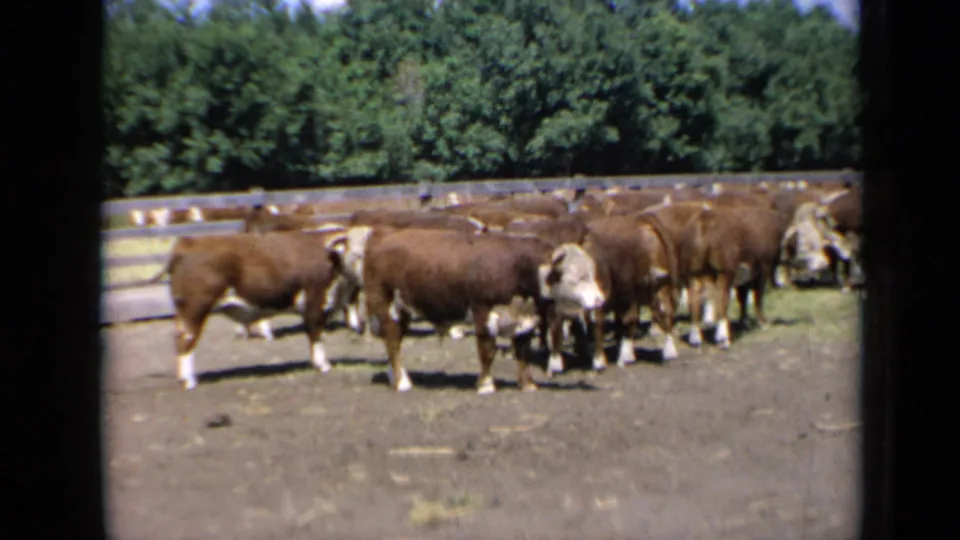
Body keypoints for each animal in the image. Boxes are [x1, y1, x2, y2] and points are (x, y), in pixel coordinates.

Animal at [150, 230, 359, 390]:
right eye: (355, 253)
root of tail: (187, 242)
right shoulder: (314, 303)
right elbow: (316, 335)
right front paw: (323, 365)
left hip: (183, 311)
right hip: (195, 308)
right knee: (187, 340)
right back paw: (189, 381)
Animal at [324, 226, 607, 393]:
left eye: (591, 272)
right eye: (578, 276)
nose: (600, 300)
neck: (518, 267)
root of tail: (382, 236)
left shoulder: (524, 320)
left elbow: (522, 353)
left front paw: (527, 384)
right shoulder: (483, 313)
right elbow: (487, 352)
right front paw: (486, 384)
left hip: (402, 309)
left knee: (394, 342)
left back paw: (398, 377)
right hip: (385, 305)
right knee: (392, 342)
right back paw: (403, 382)